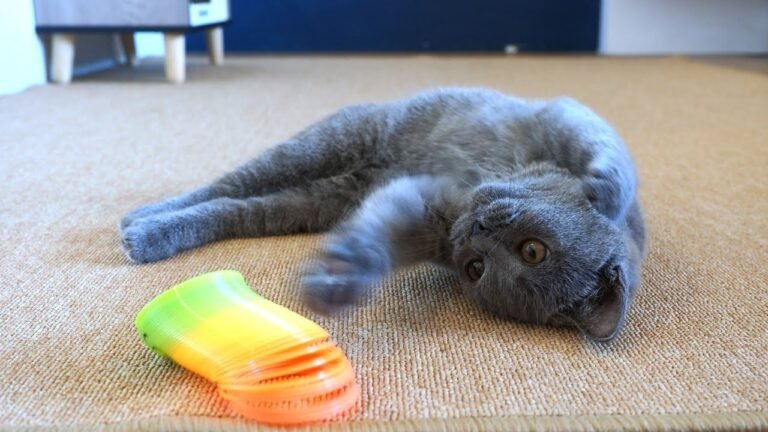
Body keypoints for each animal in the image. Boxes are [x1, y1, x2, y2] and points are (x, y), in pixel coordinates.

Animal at [121, 89, 648, 342]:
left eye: (474, 269)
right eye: (535, 250)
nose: (477, 231)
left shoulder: (428, 216)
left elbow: (381, 236)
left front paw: (340, 278)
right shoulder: (567, 116)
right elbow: (611, 160)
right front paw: (598, 193)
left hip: (312, 201)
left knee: (235, 208)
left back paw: (150, 235)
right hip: (325, 143)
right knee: (226, 184)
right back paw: (140, 219)